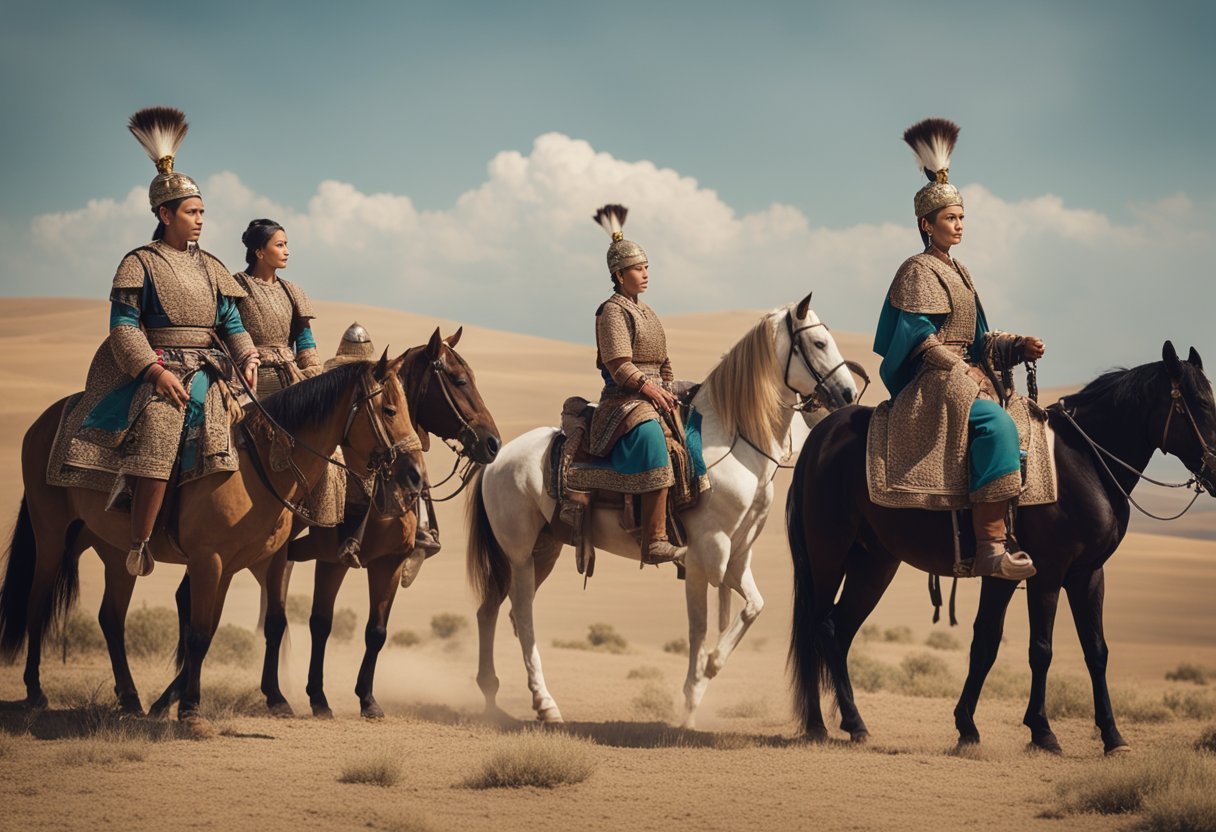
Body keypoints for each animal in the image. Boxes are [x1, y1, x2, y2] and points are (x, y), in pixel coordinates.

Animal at [0, 355, 425, 724]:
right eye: (390, 410)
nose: (416, 475)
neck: (258, 465)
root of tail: (43, 422)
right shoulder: (211, 560)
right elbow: (201, 632)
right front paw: (189, 706)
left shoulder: (252, 562)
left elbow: (248, 625)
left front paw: (273, 698)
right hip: (50, 535)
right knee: (37, 603)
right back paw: (36, 692)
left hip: (116, 549)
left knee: (111, 618)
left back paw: (131, 699)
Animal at [464, 295, 856, 724]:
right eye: (818, 342)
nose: (848, 393)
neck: (734, 443)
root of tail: (498, 457)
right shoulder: (705, 556)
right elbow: (699, 629)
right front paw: (692, 698)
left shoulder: (736, 557)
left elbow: (753, 607)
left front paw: (710, 670)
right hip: (519, 554)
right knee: (523, 616)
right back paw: (545, 703)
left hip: (544, 550)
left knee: (492, 611)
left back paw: (493, 694)